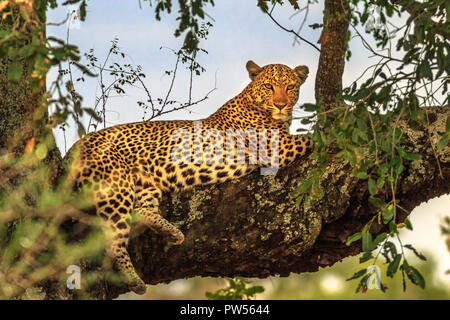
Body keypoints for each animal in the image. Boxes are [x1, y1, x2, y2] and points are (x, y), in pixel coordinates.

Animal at [65, 58, 312, 294]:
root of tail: (76, 146)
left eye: (290, 87)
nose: (281, 104)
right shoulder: (277, 147)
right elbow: (311, 137)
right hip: (115, 188)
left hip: (146, 184)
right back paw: (133, 279)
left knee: (141, 211)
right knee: (112, 237)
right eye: (269, 87)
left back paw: (173, 233)